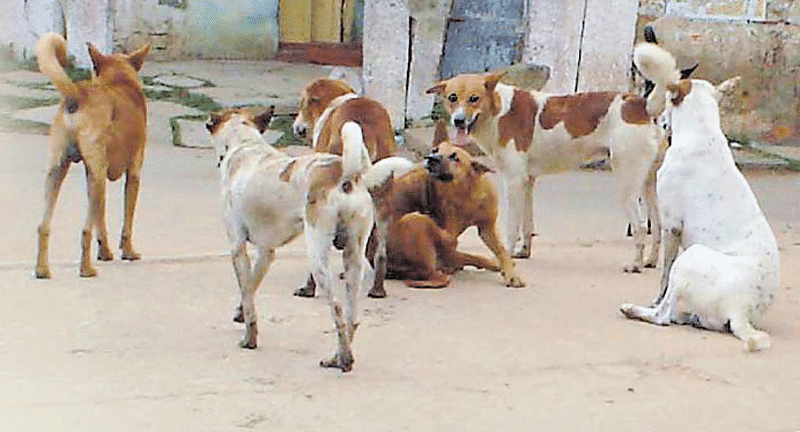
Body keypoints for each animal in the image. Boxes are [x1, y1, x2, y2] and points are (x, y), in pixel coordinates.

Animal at [34, 32, 150, 278]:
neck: (118, 79)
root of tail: (78, 93)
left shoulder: (93, 175)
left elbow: (101, 219)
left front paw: (105, 252)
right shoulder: (133, 173)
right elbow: (127, 221)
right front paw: (128, 252)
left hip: (58, 171)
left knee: (43, 226)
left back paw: (42, 269)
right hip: (97, 178)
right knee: (85, 229)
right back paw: (86, 269)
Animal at [203, 105, 372, 372]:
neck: (244, 144)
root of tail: (344, 175)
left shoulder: (237, 247)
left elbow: (248, 293)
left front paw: (249, 338)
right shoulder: (266, 252)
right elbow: (250, 286)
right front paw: (240, 312)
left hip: (317, 255)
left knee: (336, 308)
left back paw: (343, 359)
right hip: (354, 257)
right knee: (350, 317)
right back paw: (338, 356)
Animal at [428, 72, 664, 272]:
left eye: (474, 98)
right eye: (452, 98)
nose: (458, 120)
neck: (498, 111)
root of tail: (641, 105)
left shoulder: (514, 181)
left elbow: (512, 227)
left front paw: (506, 256)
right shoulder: (527, 181)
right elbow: (527, 224)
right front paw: (523, 252)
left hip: (627, 184)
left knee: (640, 226)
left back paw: (635, 265)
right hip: (648, 185)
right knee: (658, 225)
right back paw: (651, 261)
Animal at [620, 42, 780, 352]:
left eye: (667, 101)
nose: (658, 119)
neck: (703, 134)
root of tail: (740, 309)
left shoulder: (671, 227)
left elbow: (664, 276)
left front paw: (654, 297)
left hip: (692, 255)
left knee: (663, 316)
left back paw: (634, 309)